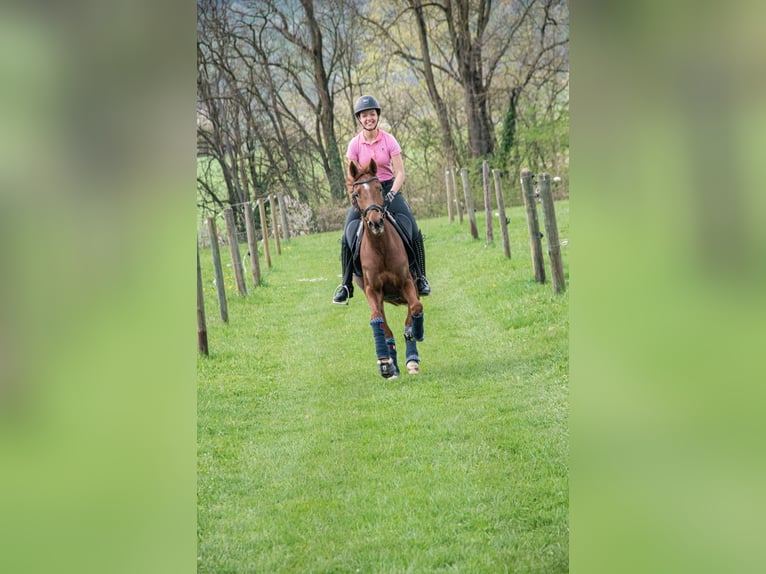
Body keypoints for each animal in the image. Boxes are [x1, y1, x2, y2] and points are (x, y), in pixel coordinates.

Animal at [346, 158, 425, 379]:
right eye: (356, 194)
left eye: (379, 188)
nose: (375, 222)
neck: (380, 246)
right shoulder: (373, 290)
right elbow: (377, 320)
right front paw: (385, 364)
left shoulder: (407, 283)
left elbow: (415, 309)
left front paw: (415, 335)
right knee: (385, 325)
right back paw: (392, 364)